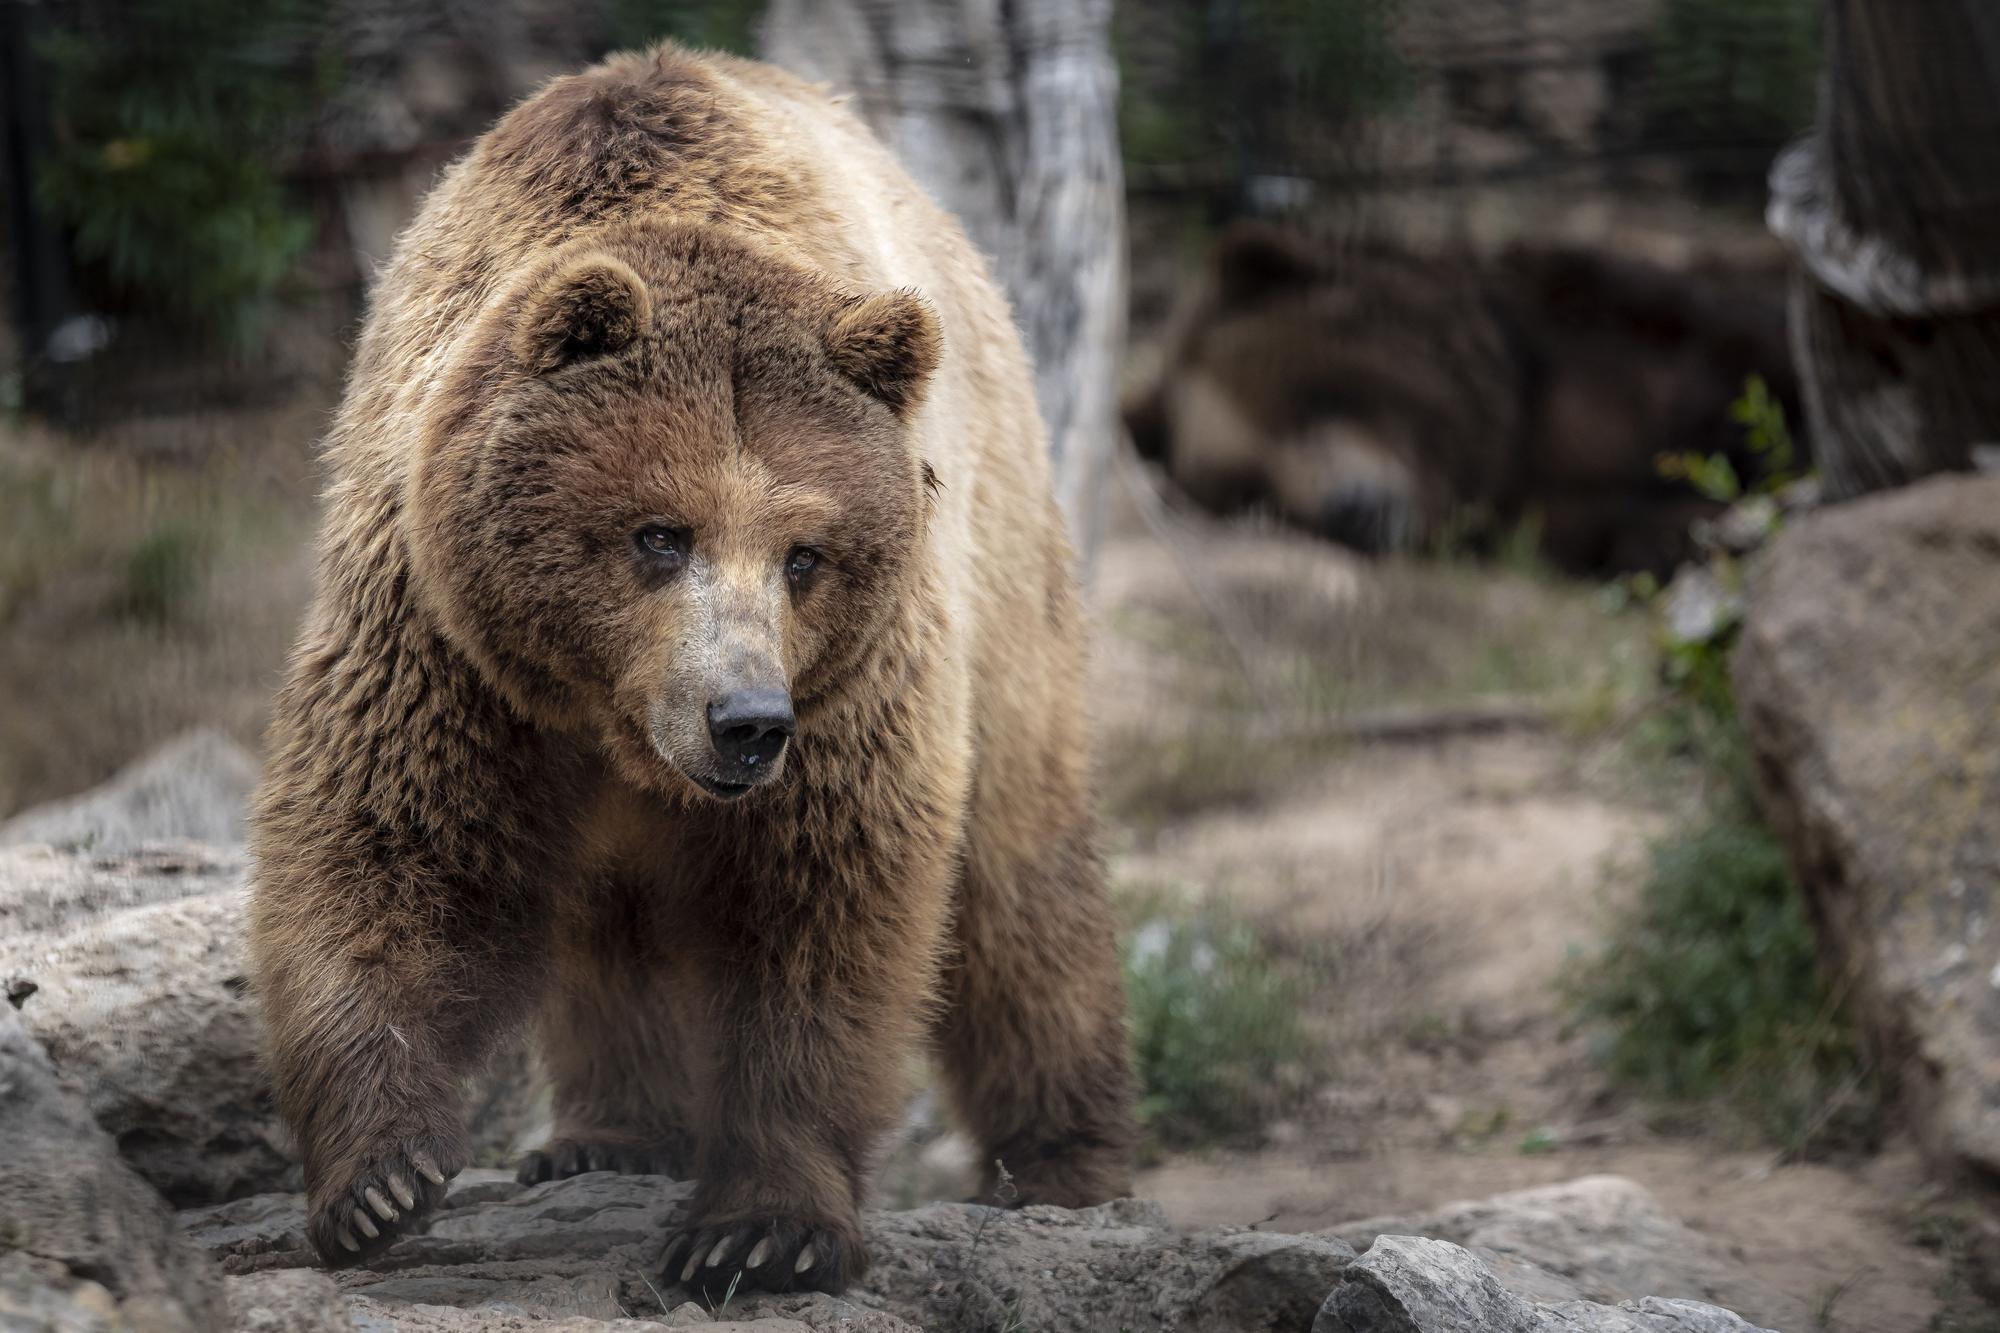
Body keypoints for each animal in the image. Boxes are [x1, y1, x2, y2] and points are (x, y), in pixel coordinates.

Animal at [242, 44, 1136, 1296]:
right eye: (660, 533)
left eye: (805, 552)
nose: (745, 720)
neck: (606, 709)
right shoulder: (440, 630)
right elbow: (383, 842)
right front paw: (376, 1180)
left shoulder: (854, 680)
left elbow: (823, 901)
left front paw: (760, 1228)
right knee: (608, 919)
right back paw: (606, 1132)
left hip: (1001, 540)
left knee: (1019, 867)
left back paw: (1063, 1163)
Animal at [1128, 220, 1816, 572]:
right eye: (1252, 494)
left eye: (1309, 399)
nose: (1348, 510)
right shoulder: (1536, 505)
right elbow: (1631, 528)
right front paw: (1726, 523)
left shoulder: (1603, 326)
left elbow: (1753, 356)